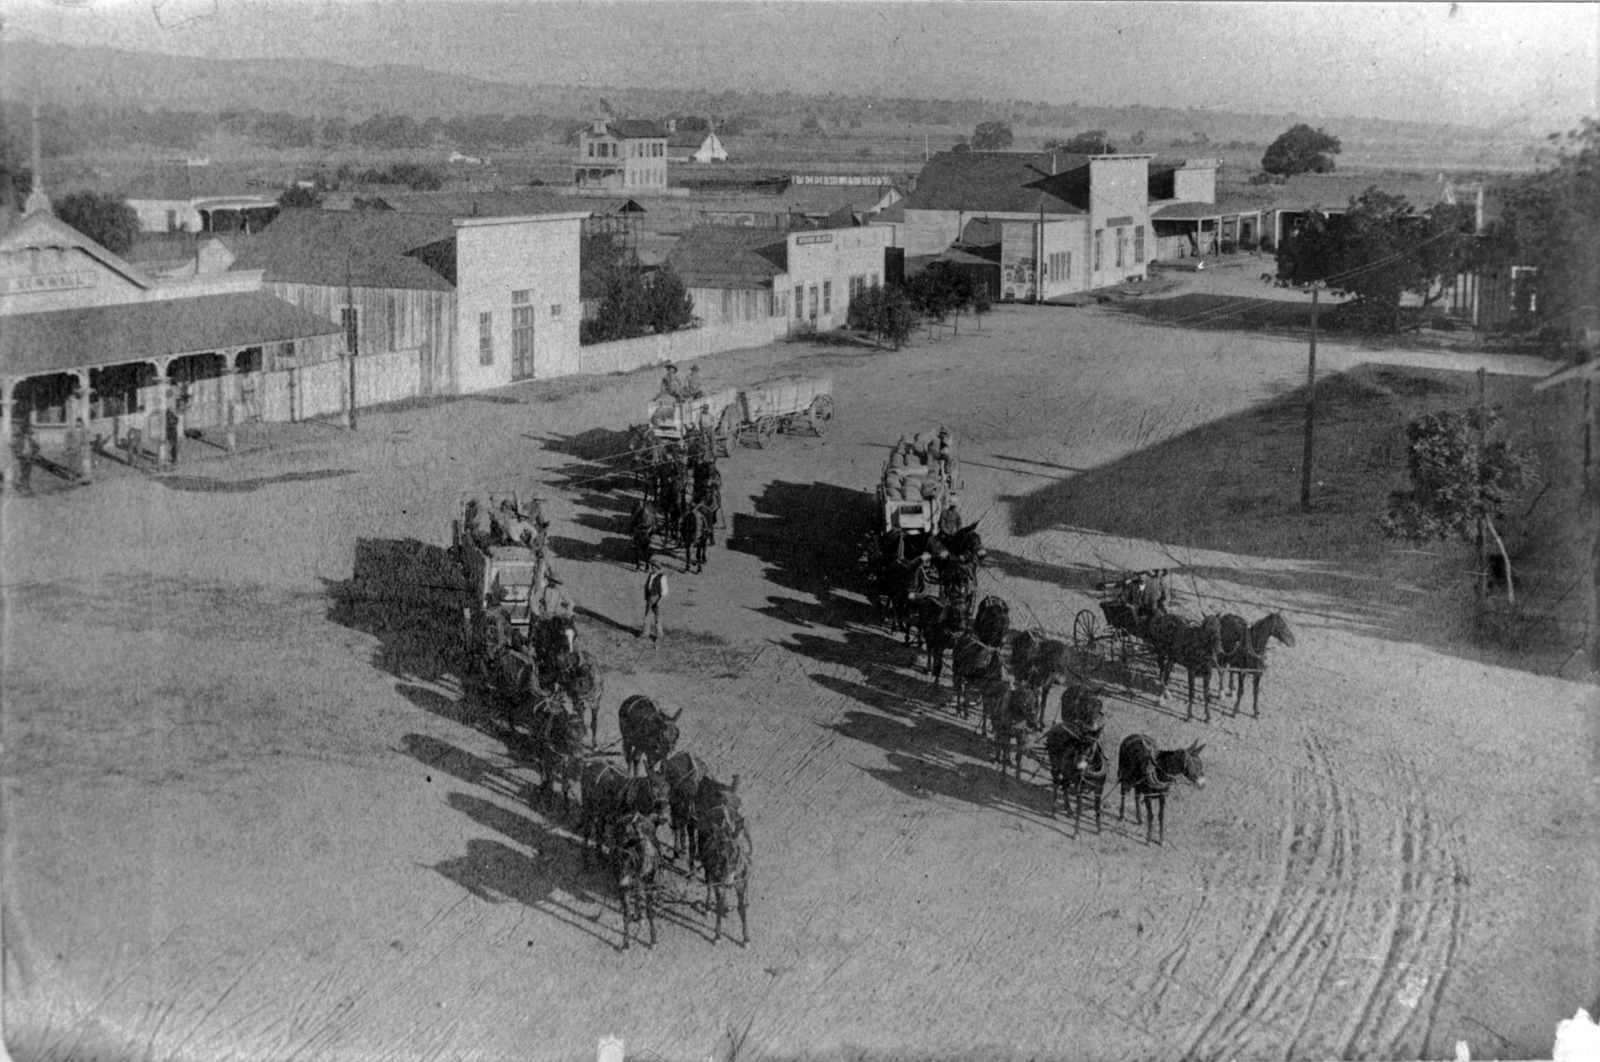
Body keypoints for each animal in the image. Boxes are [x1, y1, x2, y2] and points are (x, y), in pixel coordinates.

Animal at [611, 809, 662, 946]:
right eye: (616, 857)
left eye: (630, 858)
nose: (621, 883)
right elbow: (629, 912)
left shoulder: (644, 884)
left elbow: (646, 910)